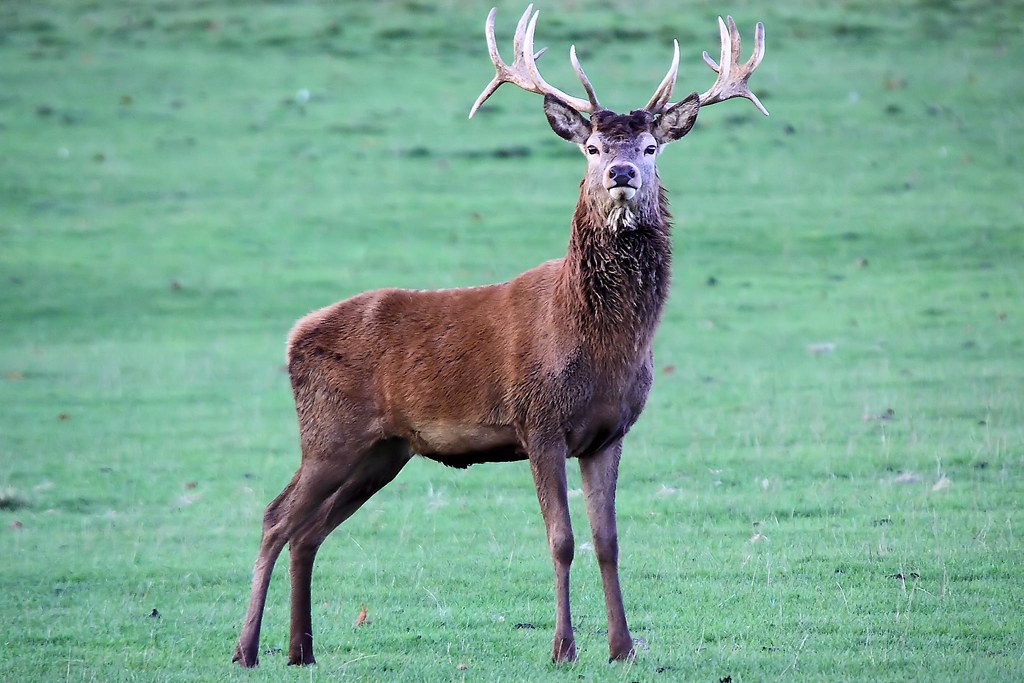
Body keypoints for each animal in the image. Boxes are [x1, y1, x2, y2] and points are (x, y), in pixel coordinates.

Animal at [233, 4, 767, 668]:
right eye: (591, 146)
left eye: (651, 146)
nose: (620, 172)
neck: (602, 341)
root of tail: (293, 338)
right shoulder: (538, 420)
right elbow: (562, 539)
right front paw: (563, 648)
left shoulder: (608, 432)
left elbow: (608, 539)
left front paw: (622, 647)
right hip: (331, 434)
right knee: (275, 517)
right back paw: (246, 650)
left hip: (383, 450)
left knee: (308, 531)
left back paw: (301, 650)